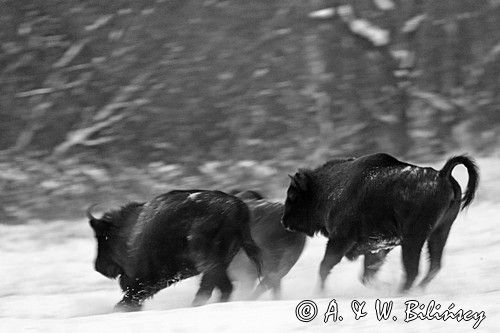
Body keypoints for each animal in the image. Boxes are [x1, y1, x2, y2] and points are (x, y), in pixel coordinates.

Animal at [88, 191, 262, 310]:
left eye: (102, 237)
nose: (98, 266)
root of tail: (237, 207)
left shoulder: (143, 282)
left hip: (208, 261)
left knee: (216, 287)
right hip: (220, 263)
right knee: (216, 287)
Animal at [284, 153, 478, 290]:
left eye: (293, 196)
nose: (284, 221)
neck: (327, 188)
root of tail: (442, 174)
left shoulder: (340, 239)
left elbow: (325, 266)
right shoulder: (377, 248)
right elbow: (366, 274)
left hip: (413, 239)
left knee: (413, 270)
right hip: (439, 232)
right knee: (434, 265)